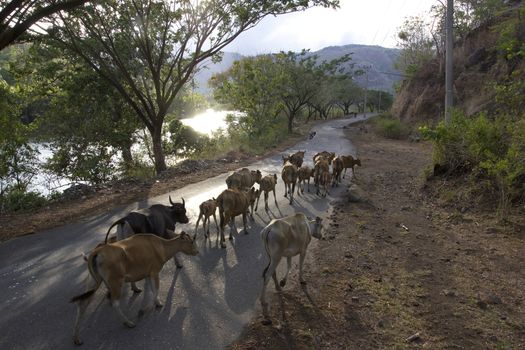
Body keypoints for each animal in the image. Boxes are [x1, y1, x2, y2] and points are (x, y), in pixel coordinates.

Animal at [70, 232, 198, 344]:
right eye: (191, 241)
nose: (197, 251)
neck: (161, 247)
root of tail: (96, 252)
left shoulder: (147, 274)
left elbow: (153, 290)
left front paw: (156, 303)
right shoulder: (154, 271)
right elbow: (156, 290)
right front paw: (144, 310)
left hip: (93, 281)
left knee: (82, 303)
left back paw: (77, 338)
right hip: (115, 281)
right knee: (115, 303)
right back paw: (128, 323)